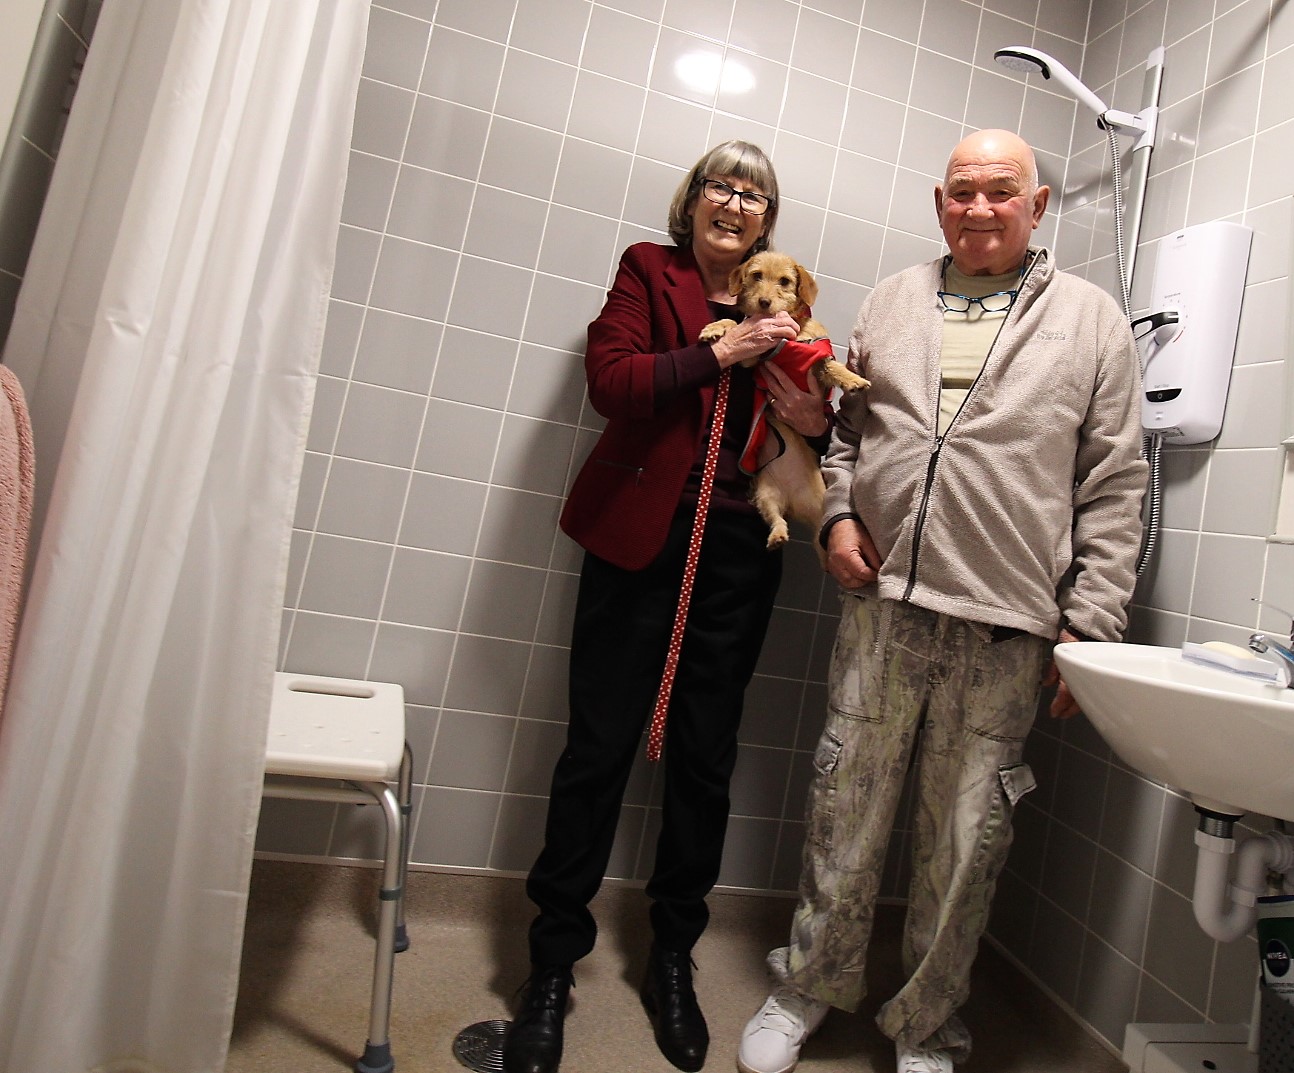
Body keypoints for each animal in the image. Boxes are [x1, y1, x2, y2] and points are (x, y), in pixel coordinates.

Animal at [698, 251, 869, 551]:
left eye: (785, 281)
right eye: (756, 276)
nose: (764, 302)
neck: (789, 334)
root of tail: (796, 504)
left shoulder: (816, 359)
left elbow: (832, 367)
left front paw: (852, 379)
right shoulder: (753, 358)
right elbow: (737, 326)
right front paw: (715, 327)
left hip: (820, 506)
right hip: (765, 495)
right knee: (776, 518)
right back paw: (777, 536)